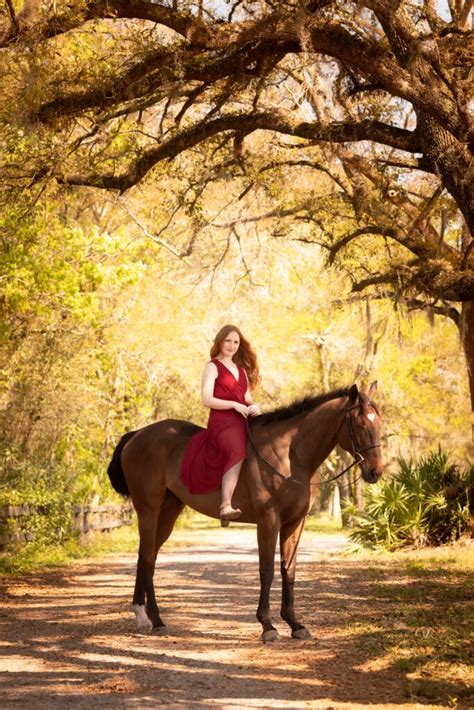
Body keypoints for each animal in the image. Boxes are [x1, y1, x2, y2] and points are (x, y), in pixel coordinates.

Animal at [106, 384, 382, 644]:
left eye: (379, 422)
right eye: (360, 423)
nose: (375, 472)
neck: (289, 455)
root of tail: (137, 435)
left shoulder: (294, 523)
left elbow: (289, 569)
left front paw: (295, 624)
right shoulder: (268, 521)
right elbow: (267, 570)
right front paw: (268, 626)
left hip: (168, 512)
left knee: (147, 556)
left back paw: (146, 616)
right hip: (148, 510)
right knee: (147, 558)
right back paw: (153, 619)